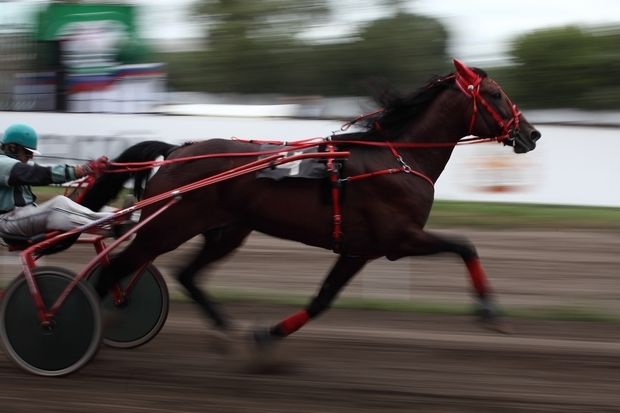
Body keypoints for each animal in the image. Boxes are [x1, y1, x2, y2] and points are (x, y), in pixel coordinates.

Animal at [81, 59, 541, 345]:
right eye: (495, 94)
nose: (532, 134)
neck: (398, 158)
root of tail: (177, 150)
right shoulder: (400, 239)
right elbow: (466, 246)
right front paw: (492, 312)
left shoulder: (360, 250)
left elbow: (322, 300)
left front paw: (265, 337)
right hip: (167, 227)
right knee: (115, 272)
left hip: (226, 230)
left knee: (186, 275)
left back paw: (225, 330)